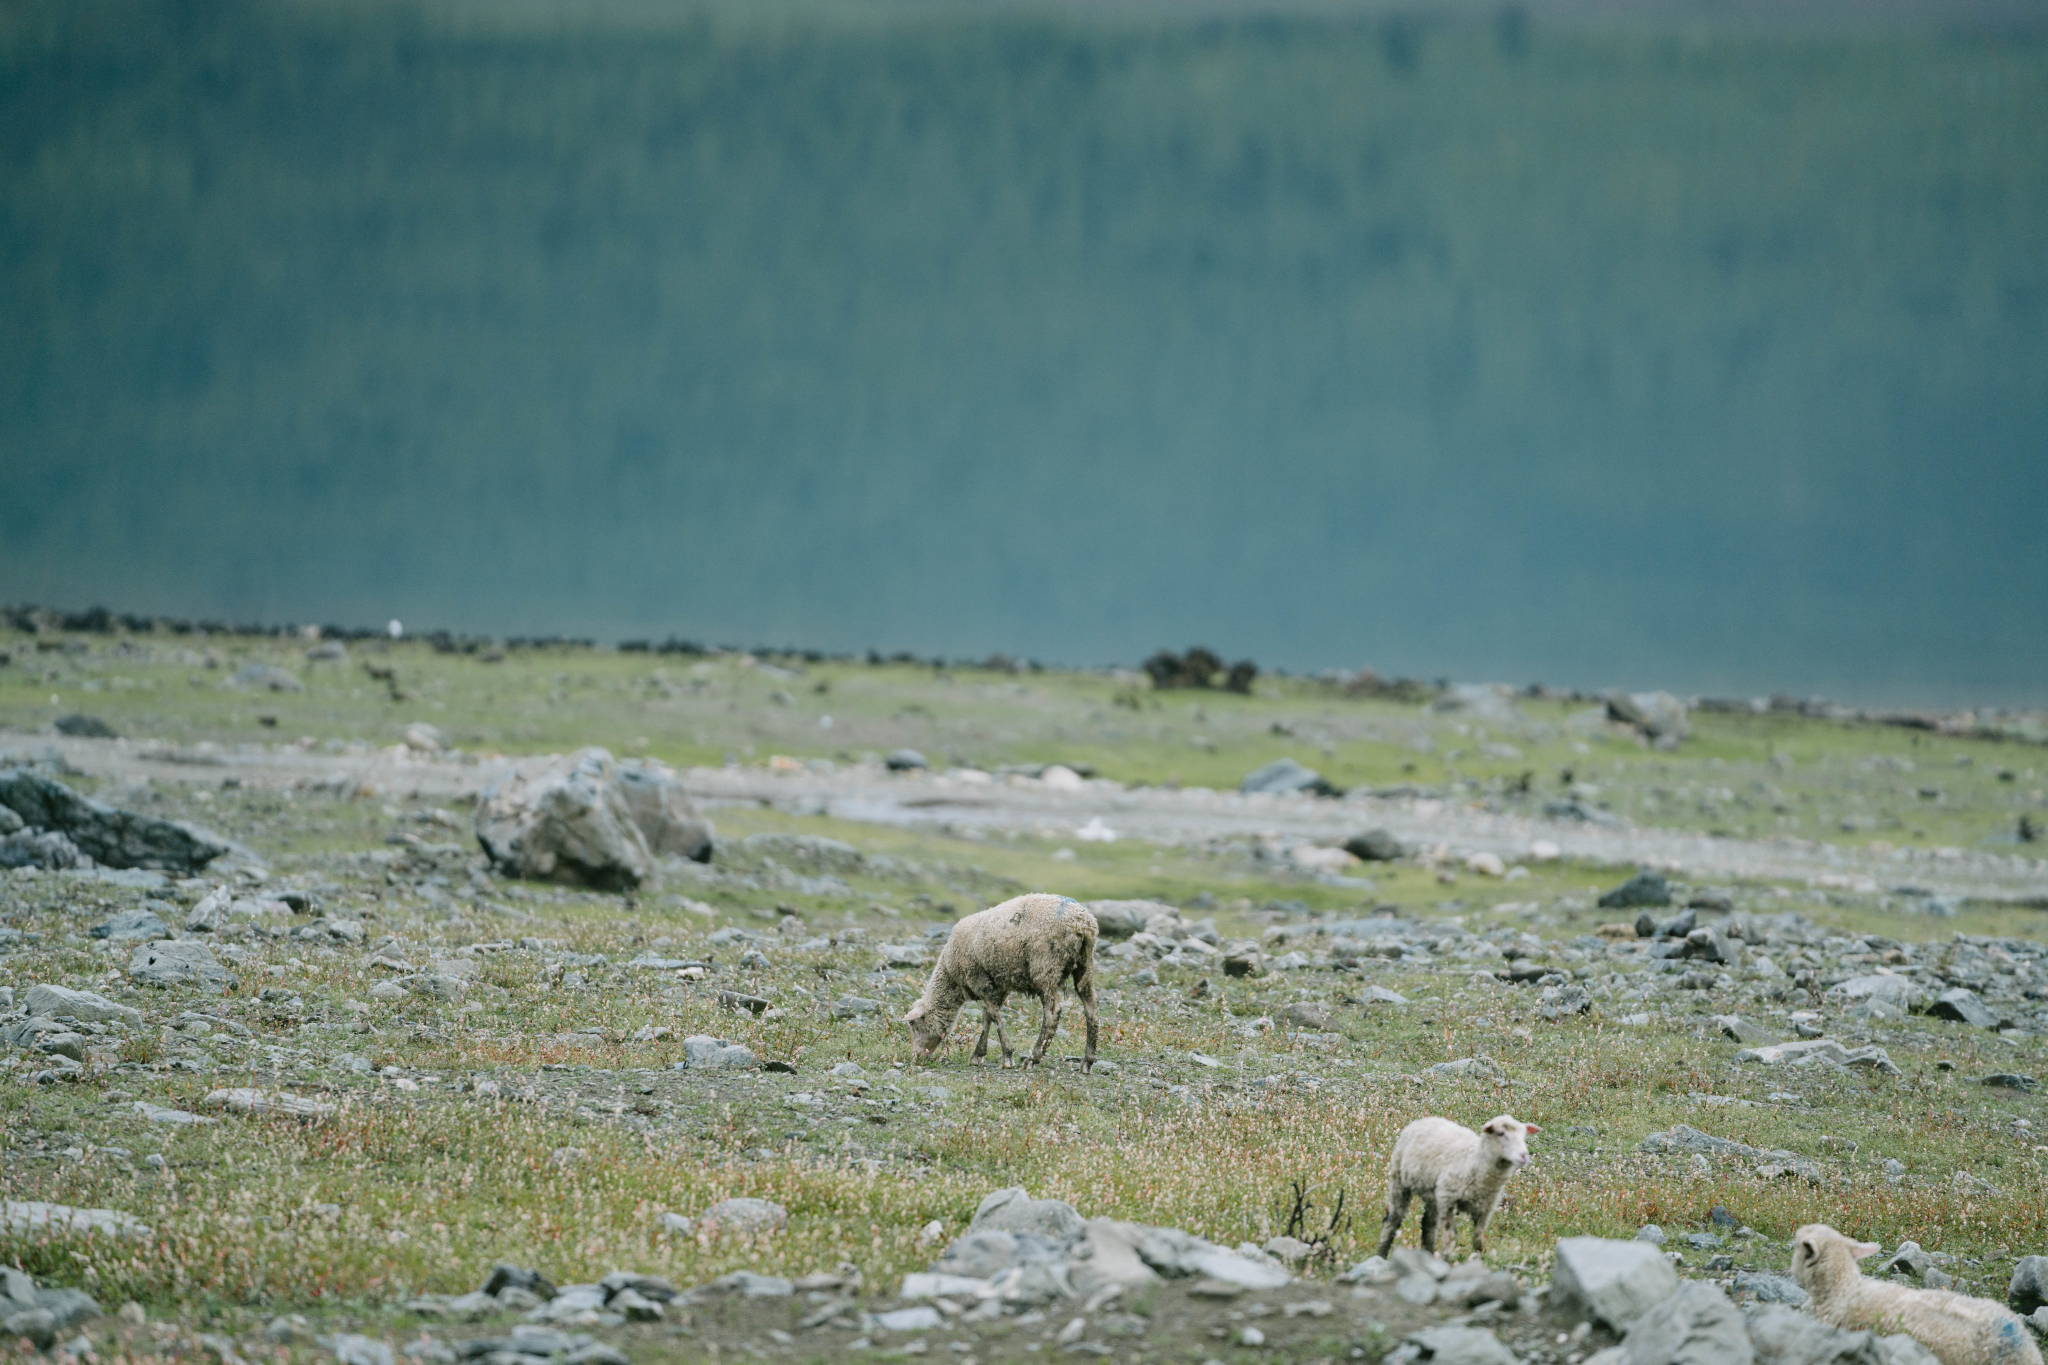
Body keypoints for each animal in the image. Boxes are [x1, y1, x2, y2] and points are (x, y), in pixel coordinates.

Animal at [901, 896, 1097, 1080]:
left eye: (913, 1024)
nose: (916, 1057)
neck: (952, 979)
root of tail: (1083, 924)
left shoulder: (978, 980)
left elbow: (993, 1016)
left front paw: (1007, 1056)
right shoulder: (999, 985)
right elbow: (987, 1016)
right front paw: (978, 1055)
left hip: (1045, 966)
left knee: (1052, 1013)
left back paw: (1032, 1058)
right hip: (1084, 966)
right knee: (1091, 1009)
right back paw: (1087, 1061)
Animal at [1376, 1113, 1540, 1260]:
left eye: (1524, 1135)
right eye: (1500, 1133)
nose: (1524, 1156)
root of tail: (1427, 1119)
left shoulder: (1485, 1209)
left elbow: (1478, 1240)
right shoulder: (1449, 1199)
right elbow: (1450, 1238)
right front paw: (1445, 1261)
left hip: (1434, 1194)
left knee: (1429, 1224)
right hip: (1400, 1181)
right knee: (1393, 1219)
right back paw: (1381, 1254)